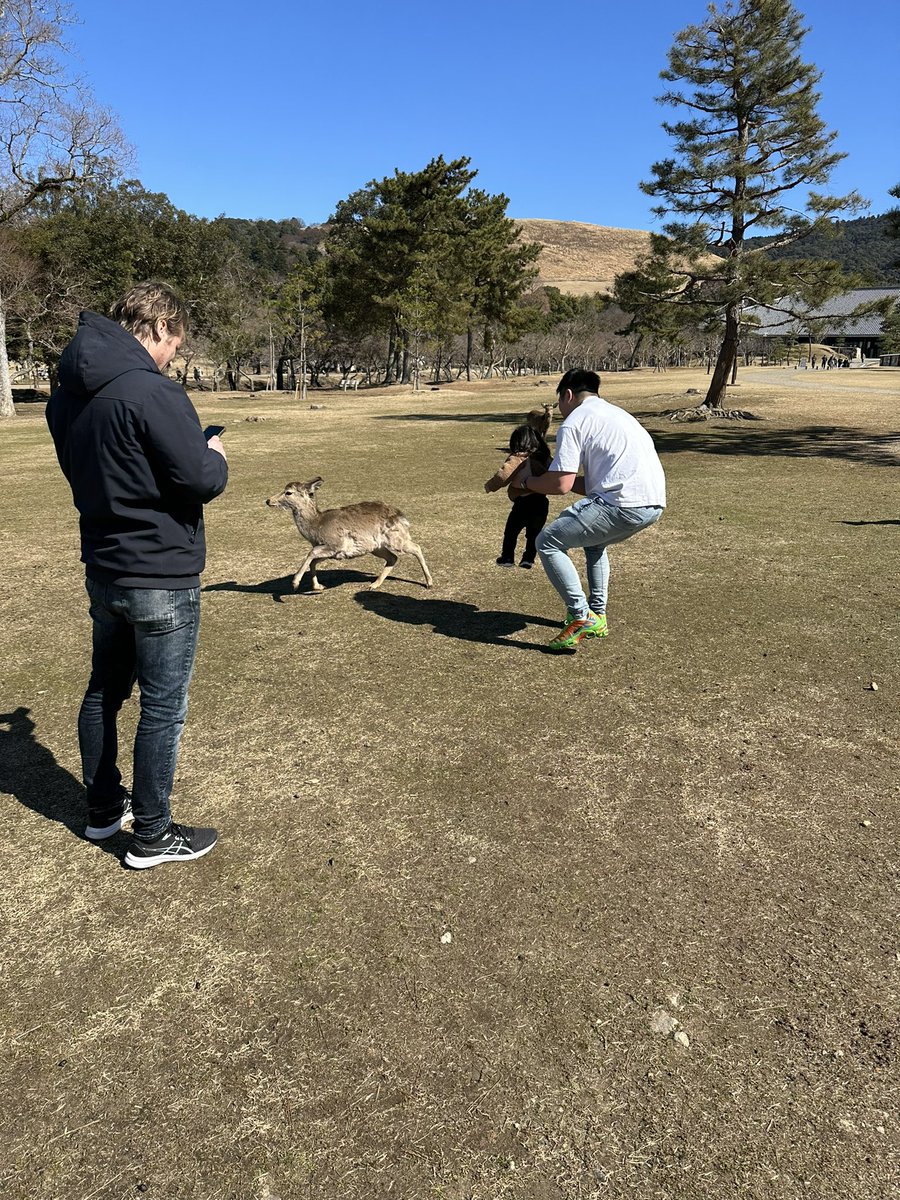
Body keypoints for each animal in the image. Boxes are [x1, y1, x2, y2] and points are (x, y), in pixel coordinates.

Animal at [266, 477, 433, 593]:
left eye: (288, 492)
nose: (268, 500)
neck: (316, 526)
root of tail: (402, 516)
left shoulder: (335, 544)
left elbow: (311, 553)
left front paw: (295, 584)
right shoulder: (332, 552)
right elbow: (313, 561)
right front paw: (319, 587)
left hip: (396, 539)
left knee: (416, 547)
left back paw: (429, 583)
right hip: (376, 547)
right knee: (393, 558)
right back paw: (373, 585)